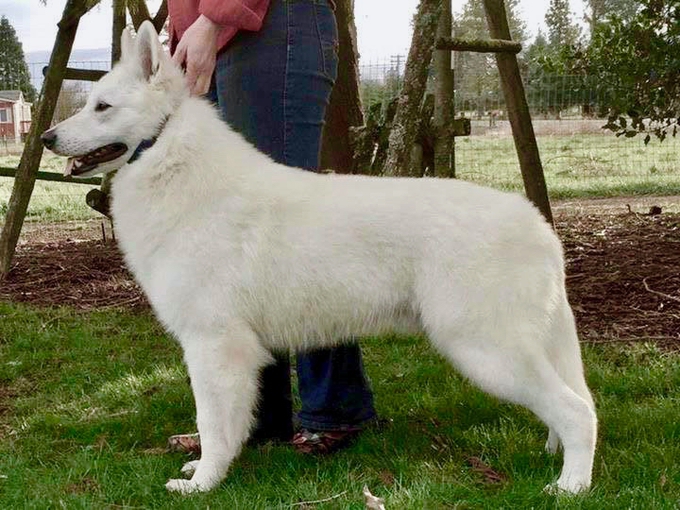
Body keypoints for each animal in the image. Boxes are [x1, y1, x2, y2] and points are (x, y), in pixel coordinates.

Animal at [41, 21, 596, 496]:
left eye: (103, 107)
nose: (46, 137)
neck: (170, 157)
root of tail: (539, 227)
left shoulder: (213, 346)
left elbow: (212, 424)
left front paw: (204, 484)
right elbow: (230, 424)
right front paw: (211, 467)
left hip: (485, 350)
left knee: (579, 413)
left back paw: (571, 486)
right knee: (571, 405)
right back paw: (557, 459)